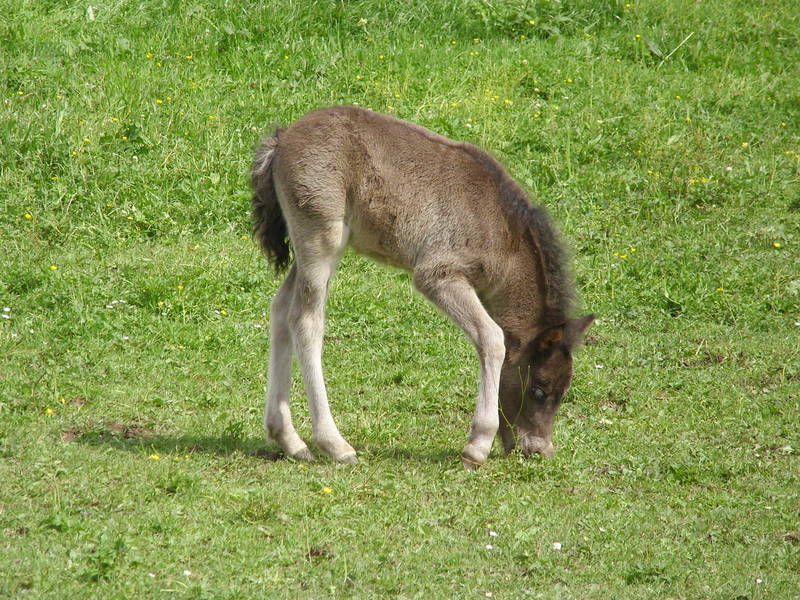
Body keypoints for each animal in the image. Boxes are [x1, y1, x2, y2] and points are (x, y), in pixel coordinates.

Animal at [252, 105, 592, 466]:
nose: (539, 449)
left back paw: (289, 439)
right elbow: (491, 338)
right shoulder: (438, 275)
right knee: (305, 320)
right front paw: (477, 444)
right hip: (321, 238)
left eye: (563, 391)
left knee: (281, 309)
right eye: (539, 389)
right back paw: (335, 444)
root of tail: (282, 138)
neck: (504, 236)